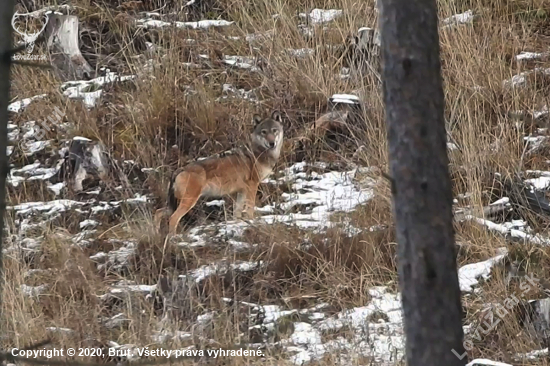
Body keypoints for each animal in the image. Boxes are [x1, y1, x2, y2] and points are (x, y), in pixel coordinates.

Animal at [154, 110, 284, 234]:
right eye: (264, 132)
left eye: (274, 131)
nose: (272, 143)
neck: (259, 153)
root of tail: (179, 169)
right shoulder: (252, 186)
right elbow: (249, 209)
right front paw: (251, 222)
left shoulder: (240, 191)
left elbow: (237, 213)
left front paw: (237, 225)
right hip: (188, 201)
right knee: (173, 218)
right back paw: (174, 238)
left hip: (175, 203)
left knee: (158, 212)